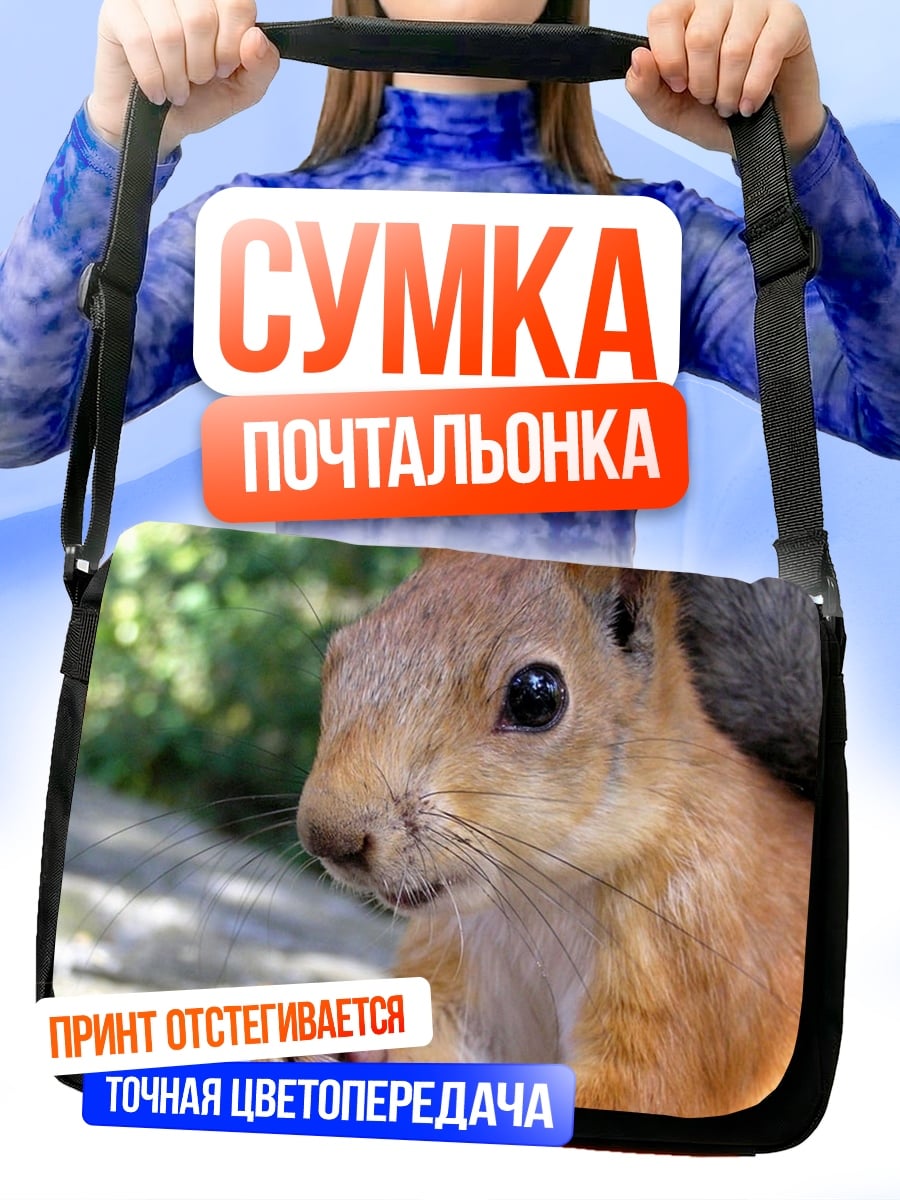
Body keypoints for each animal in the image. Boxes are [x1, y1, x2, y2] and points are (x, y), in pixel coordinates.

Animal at [296, 551, 816, 1117]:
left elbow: (649, 1086)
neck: (537, 895)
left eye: (535, 697)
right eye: (340, 654)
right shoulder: (462, 960)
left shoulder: (693, 966)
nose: (328, 837)